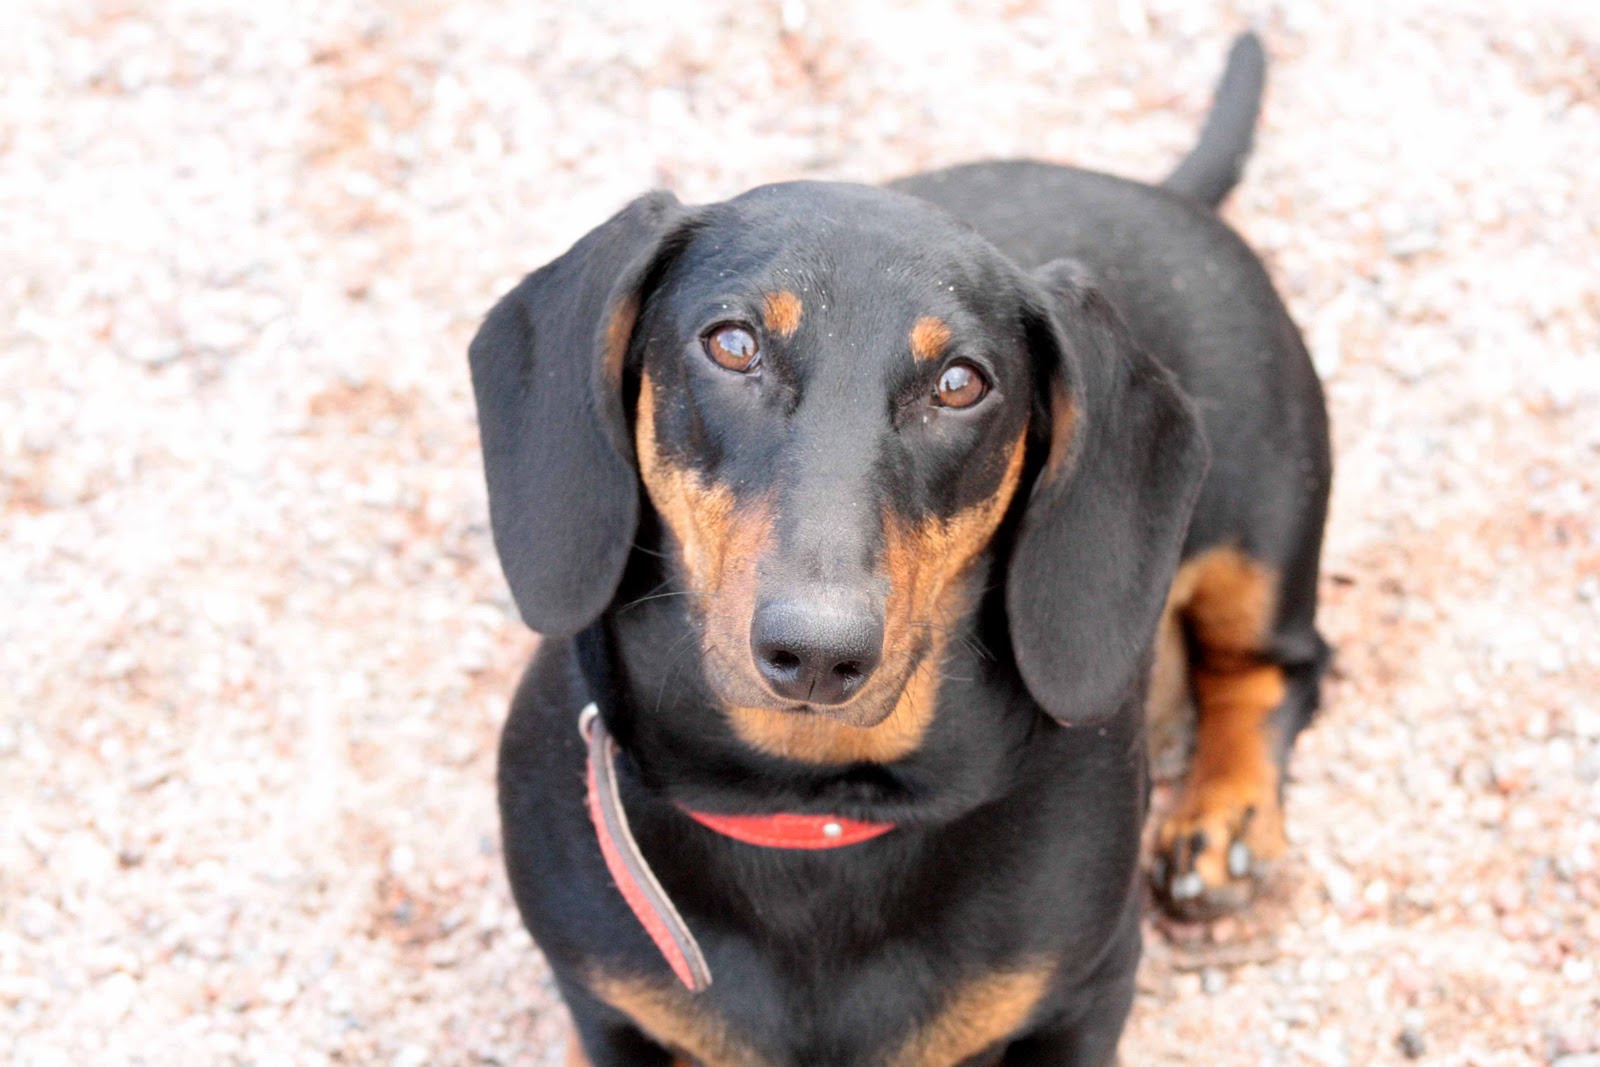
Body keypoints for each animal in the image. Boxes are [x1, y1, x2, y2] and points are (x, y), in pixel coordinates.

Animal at [469, 31, 1330, 1067]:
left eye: (961, 382)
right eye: (732, 343)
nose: (817, 652)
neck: (812, 805)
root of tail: (1163, 194)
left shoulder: (1089, 986)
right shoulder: (605, 1007)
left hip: (1262, 523)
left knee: (1275, 667)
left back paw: (1224, 820)